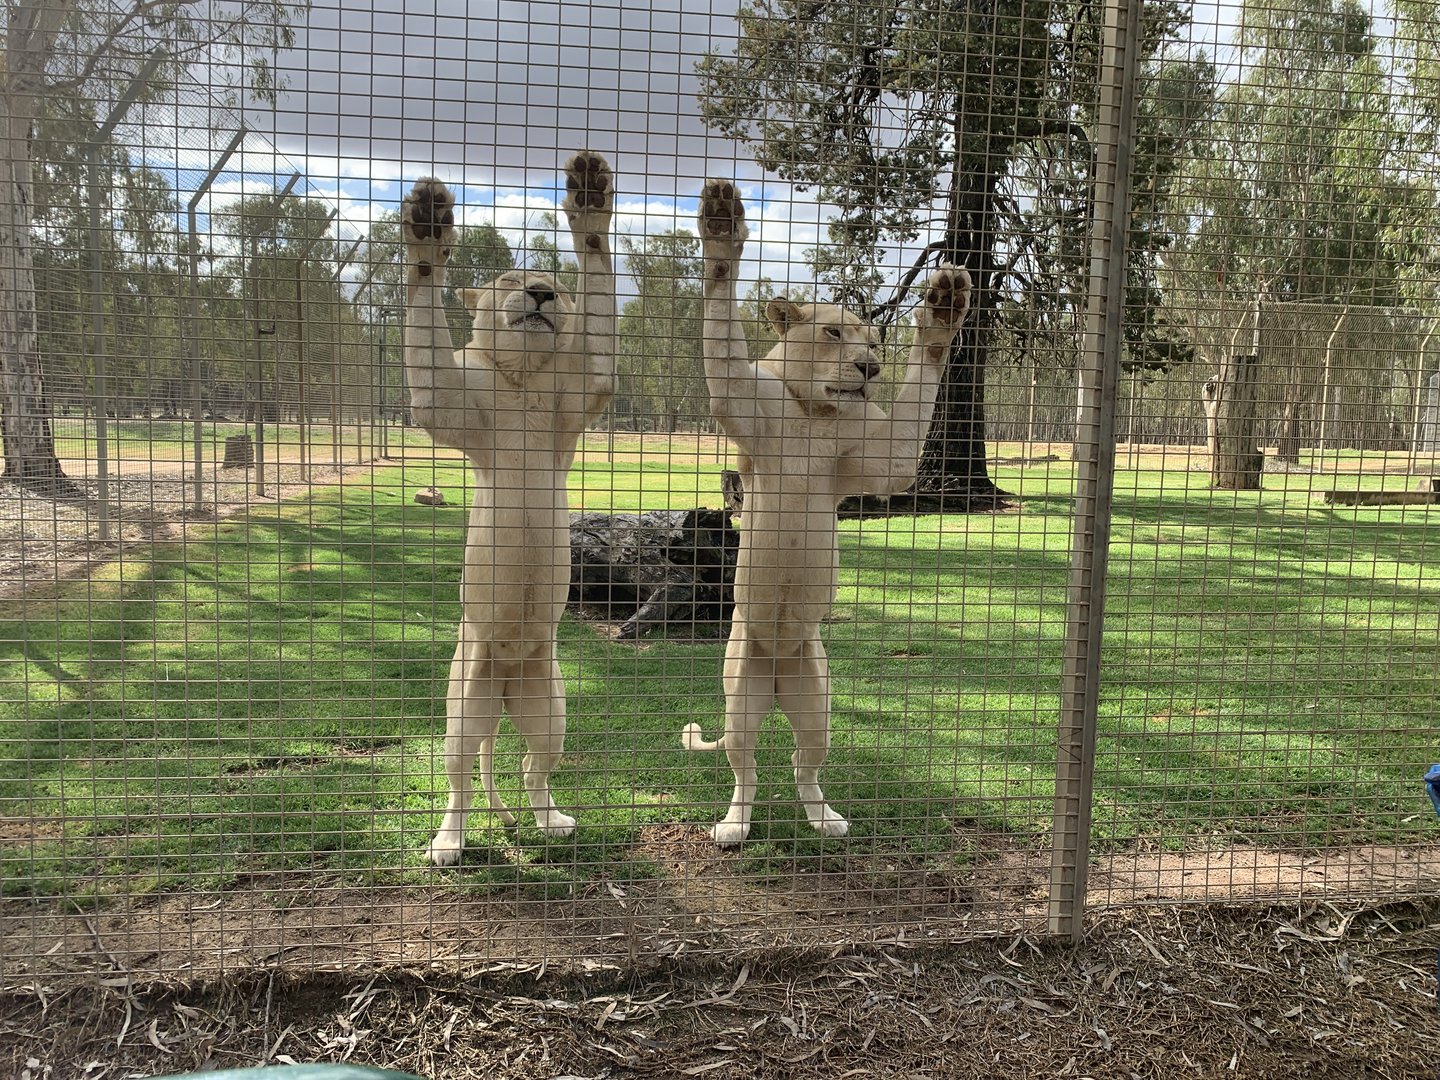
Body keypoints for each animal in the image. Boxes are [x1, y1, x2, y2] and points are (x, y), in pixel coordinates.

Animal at [401, 153, 616, 866]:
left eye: (554, 283)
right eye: (506, 280)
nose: (542, 294)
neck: (522, 376)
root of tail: (502, 688)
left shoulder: (587, 387)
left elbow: (600, 285)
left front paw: (590, 196)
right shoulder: (444, 404)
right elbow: (424, 309)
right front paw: (428, 228)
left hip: (549, 703)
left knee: (531, 768)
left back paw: (553, 823)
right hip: (465, 697)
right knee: (462, 775)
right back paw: (449, 843)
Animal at [681, 180, 970, 845]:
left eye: (876, 340)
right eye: (836, 334)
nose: (870, 368)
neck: (817, 412)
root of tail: (779, 674)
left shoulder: (882, 460)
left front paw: (943, 312)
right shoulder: (739, 399)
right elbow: (721, 324)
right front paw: (721, 229)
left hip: (817, 698)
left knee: (802, 762)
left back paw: (826, 819)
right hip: (741, 688)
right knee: (745, 765)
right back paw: (734, 825)